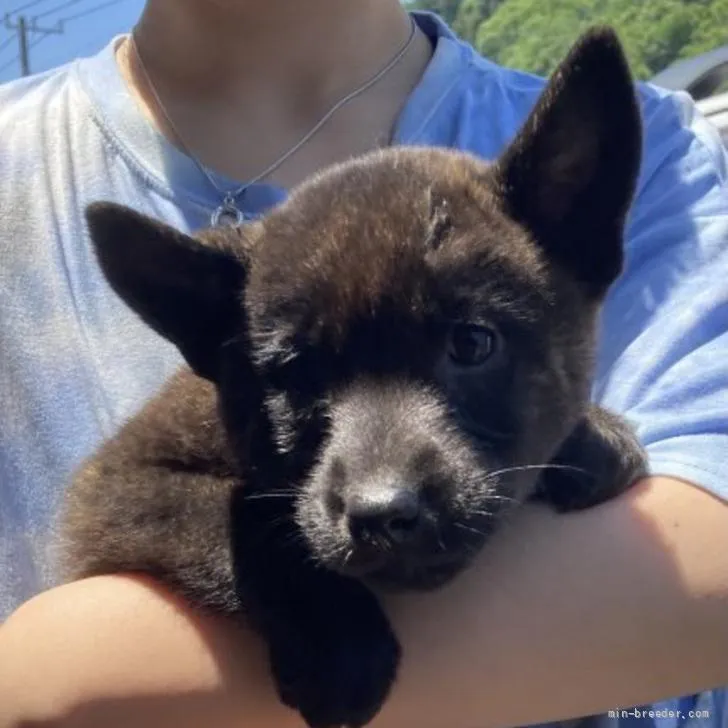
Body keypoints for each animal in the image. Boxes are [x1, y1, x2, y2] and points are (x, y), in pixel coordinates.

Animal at [59, 25, 644, 728]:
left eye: (471, 343)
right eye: (294, 375)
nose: (381, 515)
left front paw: (594, 436)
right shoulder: (115, 485)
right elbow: (241, 518)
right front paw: (341, 646)